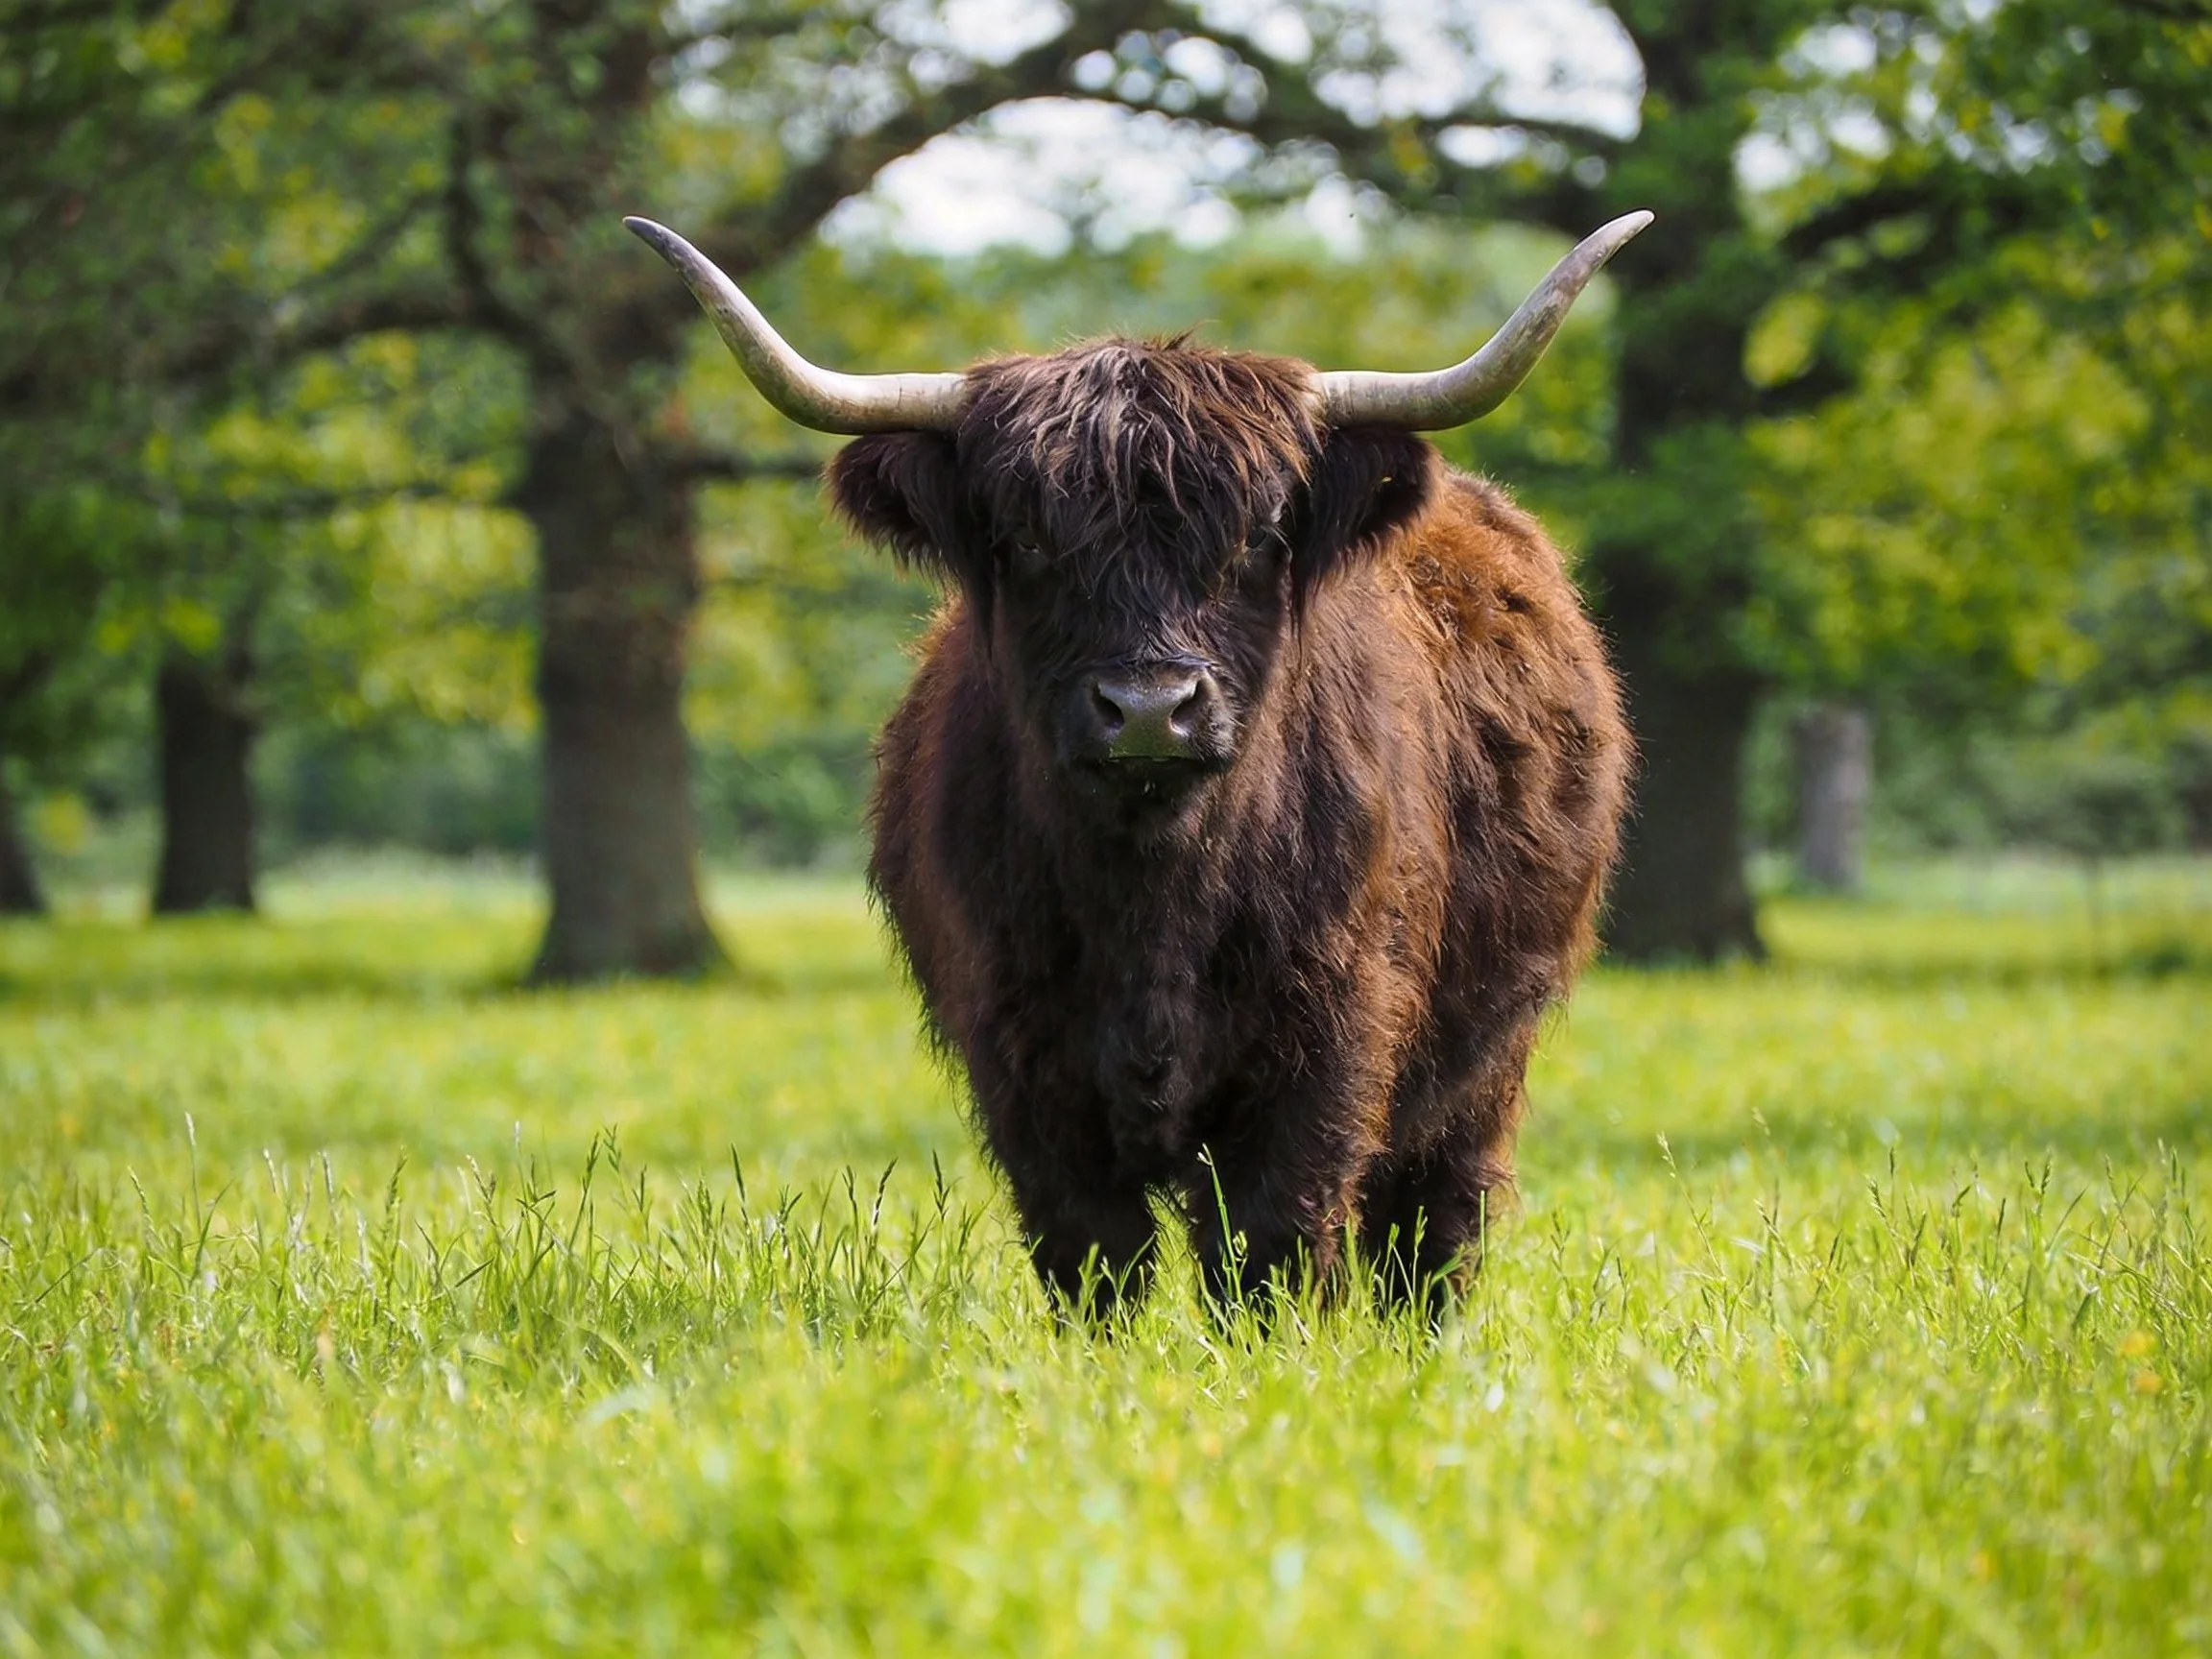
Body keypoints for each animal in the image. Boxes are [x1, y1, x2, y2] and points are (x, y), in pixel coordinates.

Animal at [627, 211, 1646, 1320]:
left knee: (1435, 1224)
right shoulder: (1022, 1056)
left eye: (1261, 534)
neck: (1153, 890)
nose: (1151, 710)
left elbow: (1271, 1243)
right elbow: (1093, 1255)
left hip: (1489, 1058)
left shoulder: (1327, 1041)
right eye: (1027, 540)